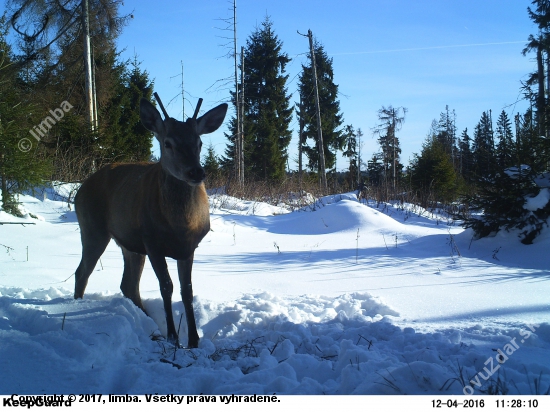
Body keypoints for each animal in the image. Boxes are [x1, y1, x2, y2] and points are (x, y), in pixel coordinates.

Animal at [74, 95, 229, 350]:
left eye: (199, 143)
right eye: (168, 143)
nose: (196, 172)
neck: (181, 226)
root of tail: (80, 189)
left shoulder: (189, 248)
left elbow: (187, 290)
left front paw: (194, 339)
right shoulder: (152, 242)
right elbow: (166, 286)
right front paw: (173, 337)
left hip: (129, 243)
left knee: (128, 284)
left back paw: (150, 326)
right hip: (92, 227)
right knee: (82, 272)